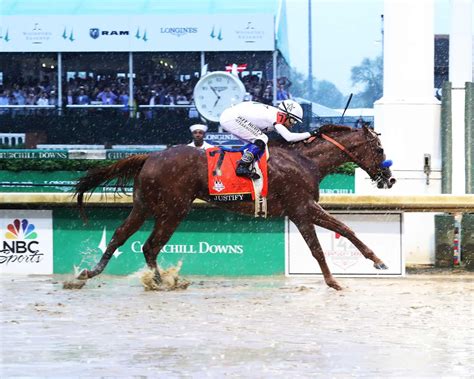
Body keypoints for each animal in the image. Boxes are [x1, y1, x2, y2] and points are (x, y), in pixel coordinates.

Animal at [76, 125, 394, 290]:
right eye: (379, 149)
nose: (389, 178)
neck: (306, 161)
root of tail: (150, 157)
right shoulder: (300, 208)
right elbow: (318, 246)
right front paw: (332, 281)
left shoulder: (303, 207)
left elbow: (346, 229)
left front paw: (378, 260)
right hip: (174, 209)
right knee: (150, 245)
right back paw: (160, 281)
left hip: (144, 205)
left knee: (122, 235)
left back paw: (91, 273)